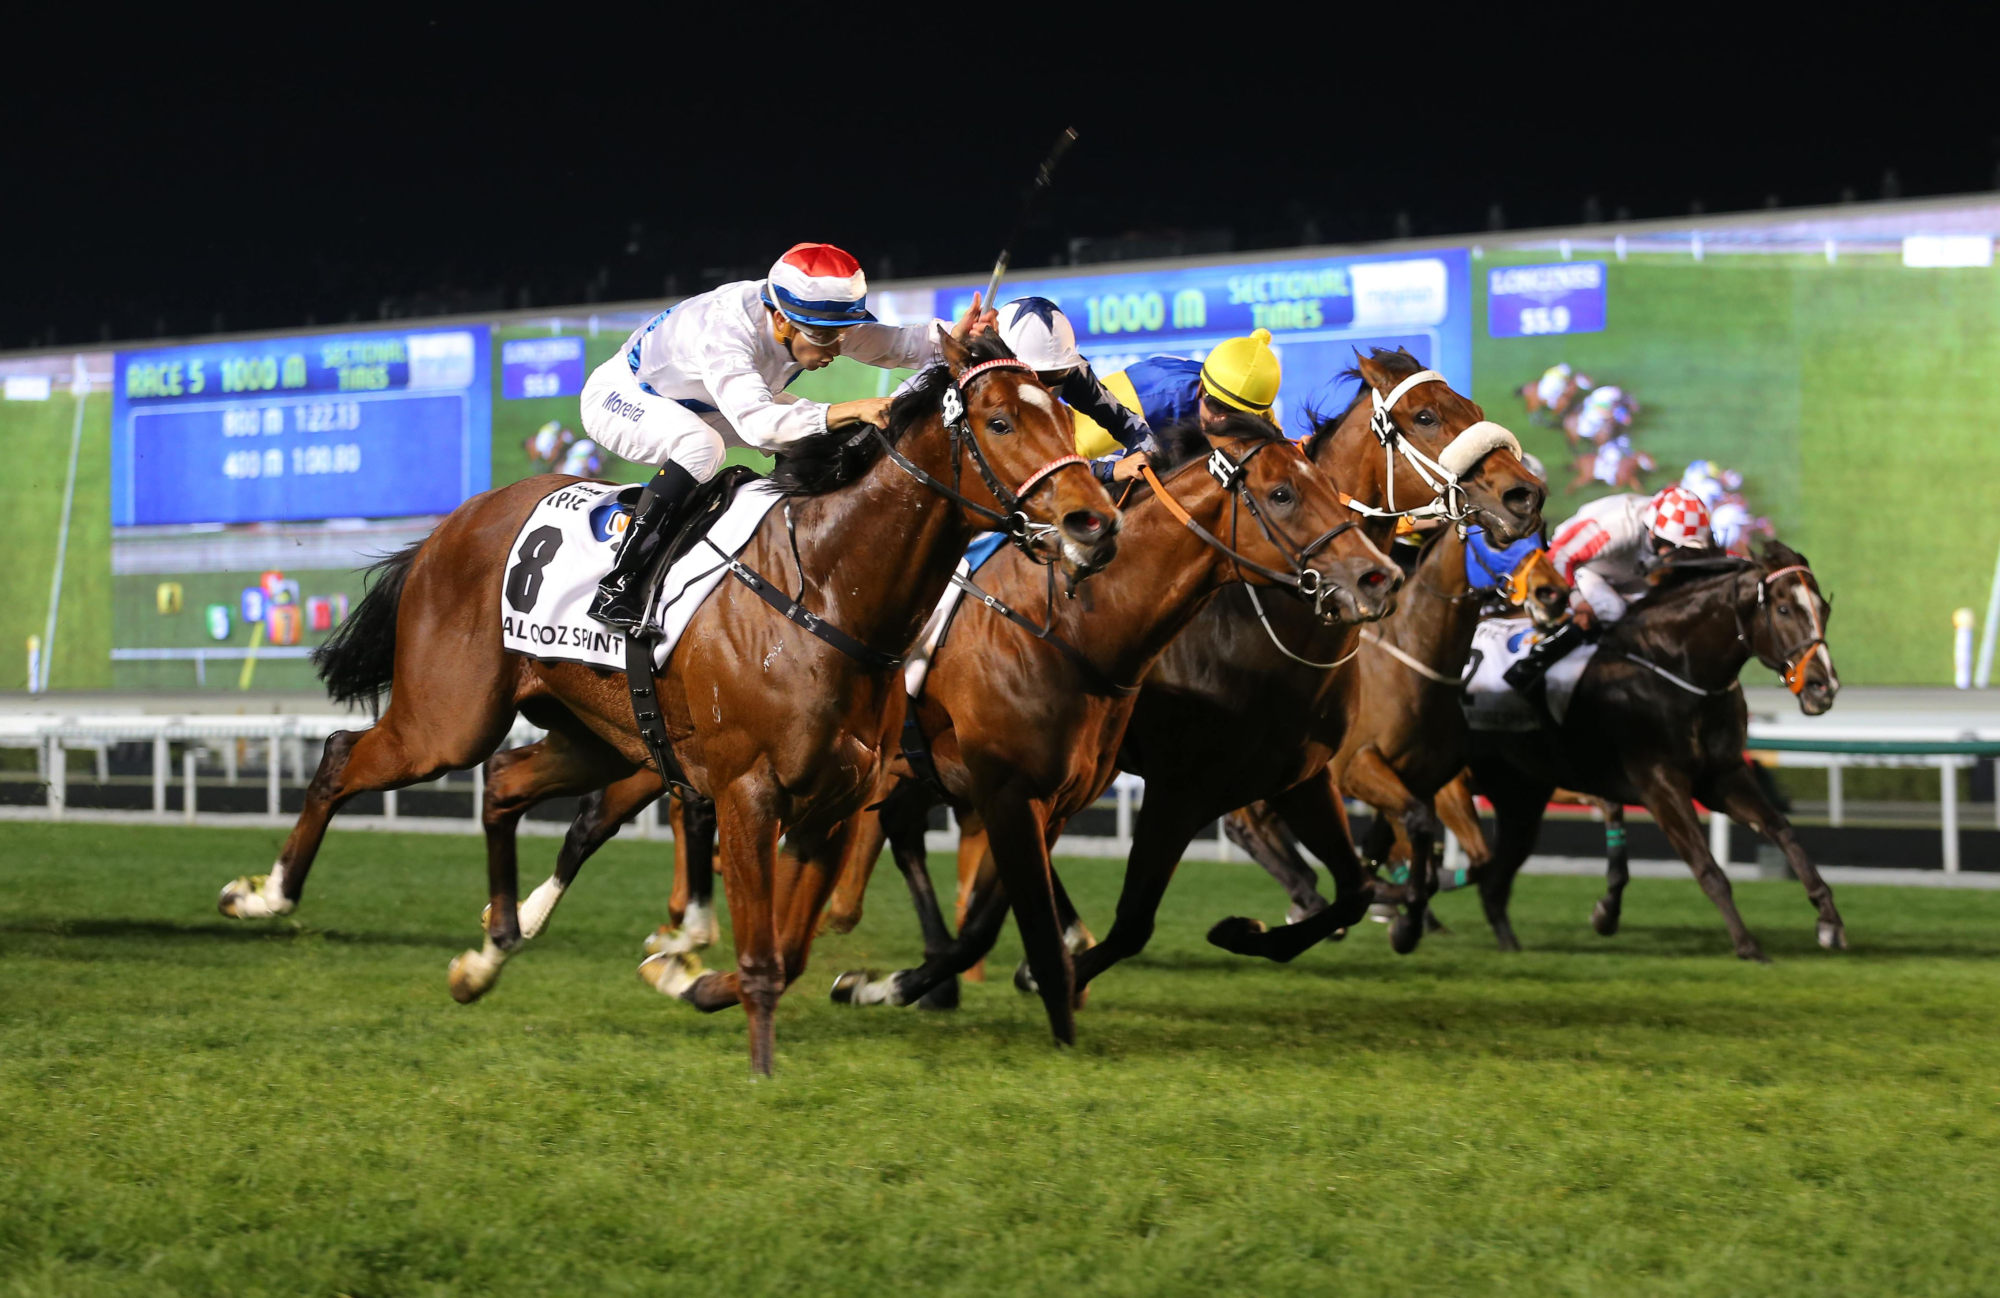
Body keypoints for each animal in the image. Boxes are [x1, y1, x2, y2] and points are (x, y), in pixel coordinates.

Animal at [223, 326, 1128, 1072]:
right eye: (1002, 423)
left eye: (1065, 412)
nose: (1095, 523)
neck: (829, 589)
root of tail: (456, 522)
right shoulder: (747, 790)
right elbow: (764, 956)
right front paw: (759, 1070)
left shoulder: (839, 799)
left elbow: (789, 954)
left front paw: (686, 976)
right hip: (447, 721)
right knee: (344, 757)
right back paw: (267, 894)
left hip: (596, 734)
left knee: (506, 783)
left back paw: (490, 951)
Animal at [820, 416, 1400, 1024]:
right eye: (1283, 494)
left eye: (1330, 487)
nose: (1380, 578)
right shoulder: (1177, 789)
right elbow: (1130, 923)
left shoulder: (1298, 777)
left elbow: (1355, 890)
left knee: (902, 826)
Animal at [1464, 540, 1848, 960]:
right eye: (1783, 610)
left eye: (1824, 609)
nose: (1823, 687)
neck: (1674, 664)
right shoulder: (1659, 783)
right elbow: (1707, 866)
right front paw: (1747, 946)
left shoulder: (1721, 774)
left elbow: (1783, 829)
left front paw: (1829, 920)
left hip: (1520, 795)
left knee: (1494, 879)